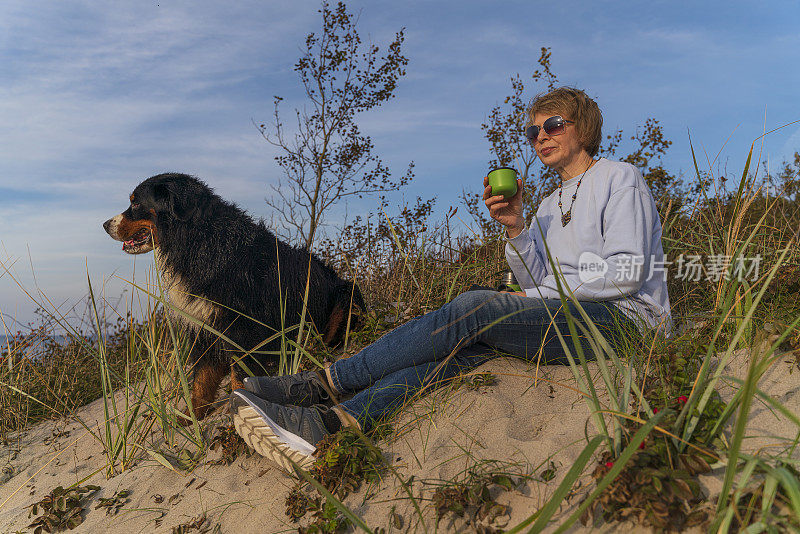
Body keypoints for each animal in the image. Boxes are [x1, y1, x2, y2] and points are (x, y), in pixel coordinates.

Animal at [103, 174, 362, 420]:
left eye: (136, 203)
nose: (105, 224)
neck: (197, 244)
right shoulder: (203, 326)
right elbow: (201, 381)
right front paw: (191, 418)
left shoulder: (242, 327)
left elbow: (240, 374)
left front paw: (240, 407)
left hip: (346, 296)